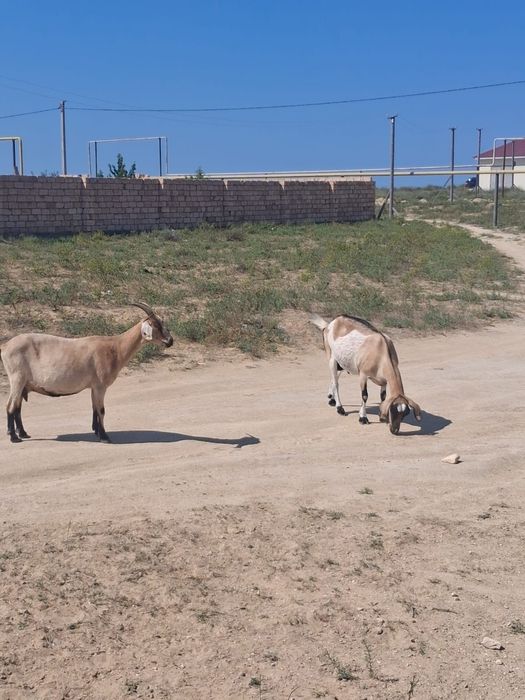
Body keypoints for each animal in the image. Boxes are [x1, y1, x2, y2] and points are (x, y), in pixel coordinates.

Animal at [0, 302, 173, 443]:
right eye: (156, 325)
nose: (170, 341)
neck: (115, 347)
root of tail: (5, 346)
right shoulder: (100, 386)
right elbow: (101, 410)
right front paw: (105, 437)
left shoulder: (93, 386)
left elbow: (94, 408)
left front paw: (96, 431)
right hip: (17, 377)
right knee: (10, 405)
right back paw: (14, 437)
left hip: (22, 382)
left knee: (17, 407)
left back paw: (23, 433)